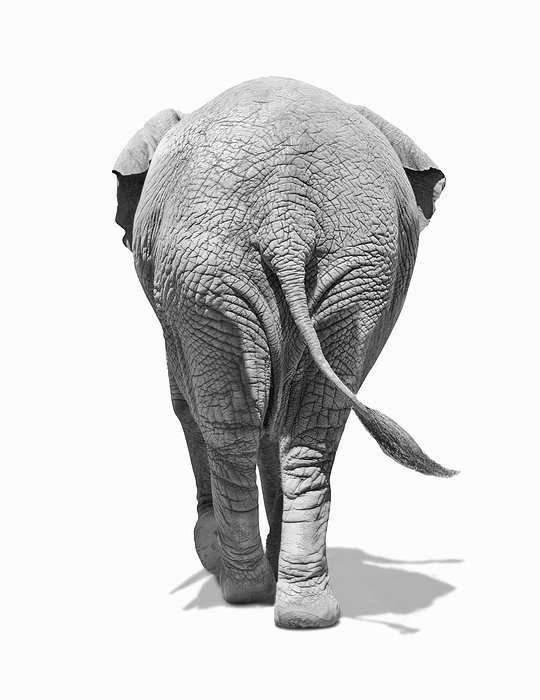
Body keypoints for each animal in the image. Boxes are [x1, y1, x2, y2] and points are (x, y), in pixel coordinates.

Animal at [113, 77, 456, 629]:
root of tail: (285, 215)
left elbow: (185, 406)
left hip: (212, 273)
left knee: (230, 427)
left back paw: (242, 587)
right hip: (346, 270)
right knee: (308, 432)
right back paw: (303, 612)